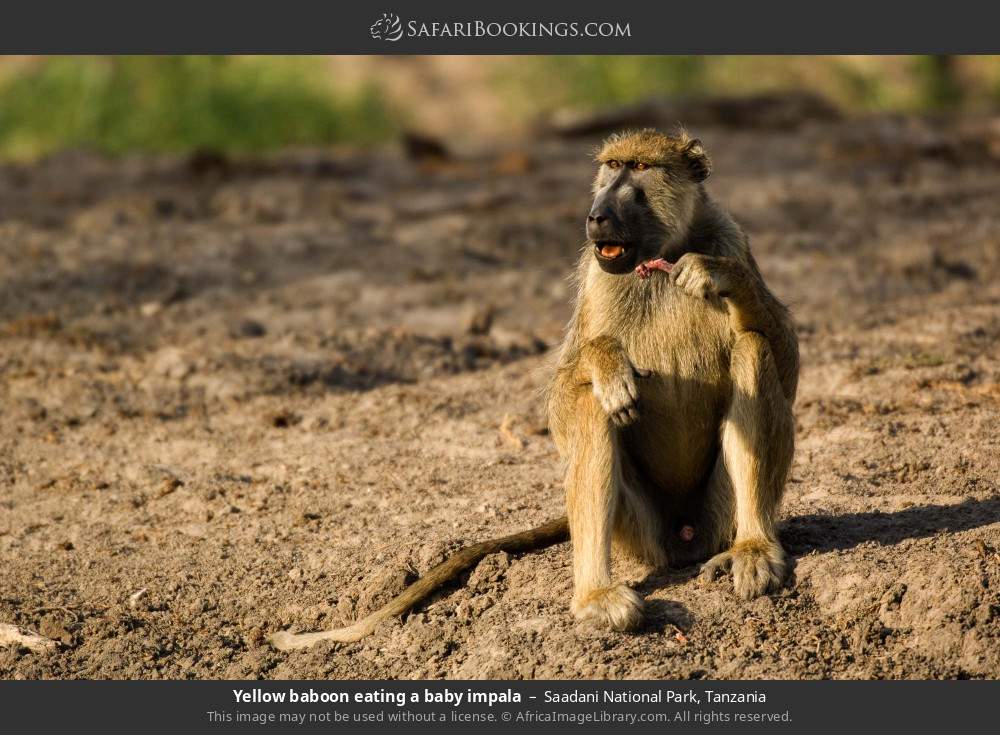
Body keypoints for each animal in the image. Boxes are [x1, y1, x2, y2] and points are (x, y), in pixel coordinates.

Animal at [268, 128, 797, 651]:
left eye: (641, 169)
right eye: (611, 166)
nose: (597, 215)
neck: (662, 257)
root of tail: (684, 540)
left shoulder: (728, 238)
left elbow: (785, 360)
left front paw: (718, 276)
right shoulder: (595, 277)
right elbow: (564, 398)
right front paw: (607, 362)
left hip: (716, 516)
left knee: (752, 349)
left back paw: (752, 549)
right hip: (639, 532)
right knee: (592, 406)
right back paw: (595, 596)